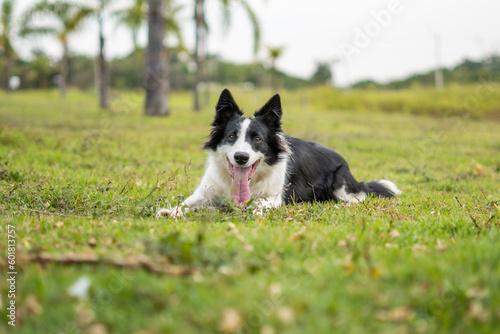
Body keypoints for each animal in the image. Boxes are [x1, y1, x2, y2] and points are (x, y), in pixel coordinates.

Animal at [158, 88, 400, 218]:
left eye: (257, 139)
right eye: (231, 137)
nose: (241, 158)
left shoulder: (275, 197)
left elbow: (258, 203)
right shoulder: (206, 191)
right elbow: (187, 202)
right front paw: (172, 211)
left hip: (341, 187)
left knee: (359, 196)